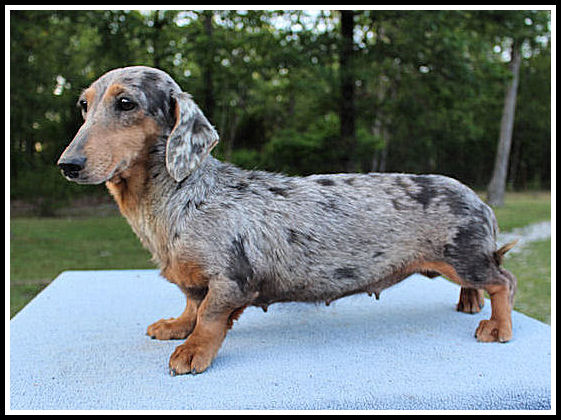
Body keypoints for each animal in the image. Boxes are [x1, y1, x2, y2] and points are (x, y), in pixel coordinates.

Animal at [58, 66, 518, 375]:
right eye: (84, 105)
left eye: (125, 103)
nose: (67, 165)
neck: (183, 196)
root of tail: (479, 201)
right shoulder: (191, 279)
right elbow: (190, 304)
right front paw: (174, 327)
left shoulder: (231, 280)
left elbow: (209, 317)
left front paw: (192, 352)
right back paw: (469, 303)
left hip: (464, 258)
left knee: (503, 281)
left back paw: (496, 326)